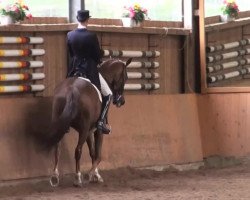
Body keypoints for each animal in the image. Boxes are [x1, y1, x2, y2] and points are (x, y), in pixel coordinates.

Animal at [47, 58, 132, 188]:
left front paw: (95, 175)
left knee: (57, 148)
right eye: (125, 77)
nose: (121, 101)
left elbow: (92, 152)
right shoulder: (97, 130)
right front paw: (92, 175)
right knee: (78, 150)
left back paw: (55, 176)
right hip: (83, 128)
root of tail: (71, 90)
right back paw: (78, 178)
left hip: (63, 125)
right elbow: (98, 154)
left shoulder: (89, 131)